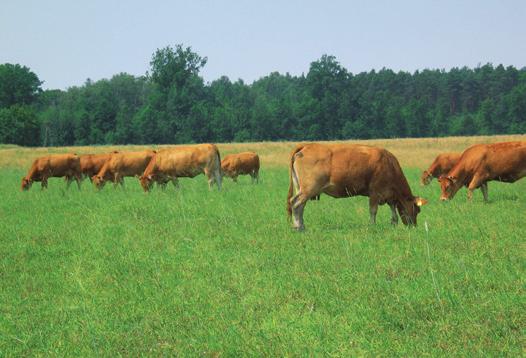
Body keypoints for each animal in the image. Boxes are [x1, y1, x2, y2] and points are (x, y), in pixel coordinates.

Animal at [286, 143, 426, 231]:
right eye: (417, 209)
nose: (414, 226)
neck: (389, 164)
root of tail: (307, 145)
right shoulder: (375, 192)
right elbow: (373, 210)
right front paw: (372, 226)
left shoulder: (389, 195)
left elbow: (393, 211)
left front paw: (394, 224)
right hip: (309, 188)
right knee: (295, 203)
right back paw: (298, 227)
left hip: (302, 188)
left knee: (300, 206)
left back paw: (301, 226)